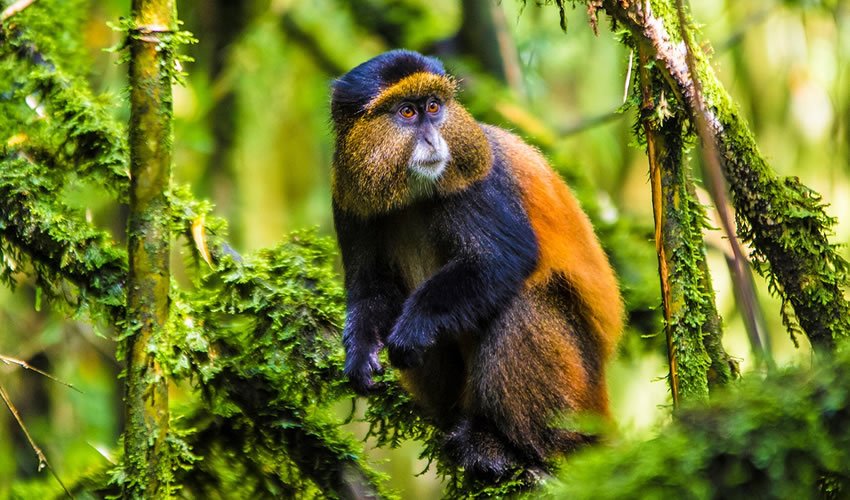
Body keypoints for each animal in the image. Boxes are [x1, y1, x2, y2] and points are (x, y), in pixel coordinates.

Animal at [330, 50, 624, 479]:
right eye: (407, 112)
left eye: (434, 107)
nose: (433, 138)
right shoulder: (348, 201)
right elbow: (371, 289)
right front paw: (361, 352)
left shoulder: (477, 182)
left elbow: (502, 259)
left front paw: (414, 327)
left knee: (522, 303)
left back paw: (505, 445)